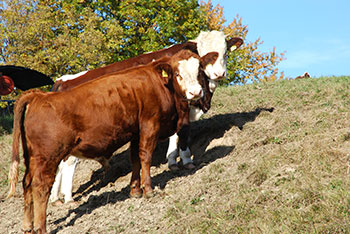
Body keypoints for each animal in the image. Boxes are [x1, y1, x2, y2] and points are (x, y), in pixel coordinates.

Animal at [6, 50, 217, 233]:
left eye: (199, 71)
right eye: (177, 74)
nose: (195, 92)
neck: (160, 85)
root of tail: (38, 96)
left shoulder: (135, 131)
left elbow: (135, 159)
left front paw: (135, 190)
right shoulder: (150, 125)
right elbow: (145, 157)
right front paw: (148, 189)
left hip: (32, 157)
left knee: (27, 184)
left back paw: (27, 226)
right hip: (49, 156)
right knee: (40, 187)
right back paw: (40, 227)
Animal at [50, 30, 243, 203]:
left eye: (225, 52)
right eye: (203, 53)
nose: (218, 74)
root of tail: (62, 82)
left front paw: (172, 159)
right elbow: (182, 132)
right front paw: (185, 159)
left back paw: (54, 198)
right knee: (68, 163)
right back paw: (67, 197)